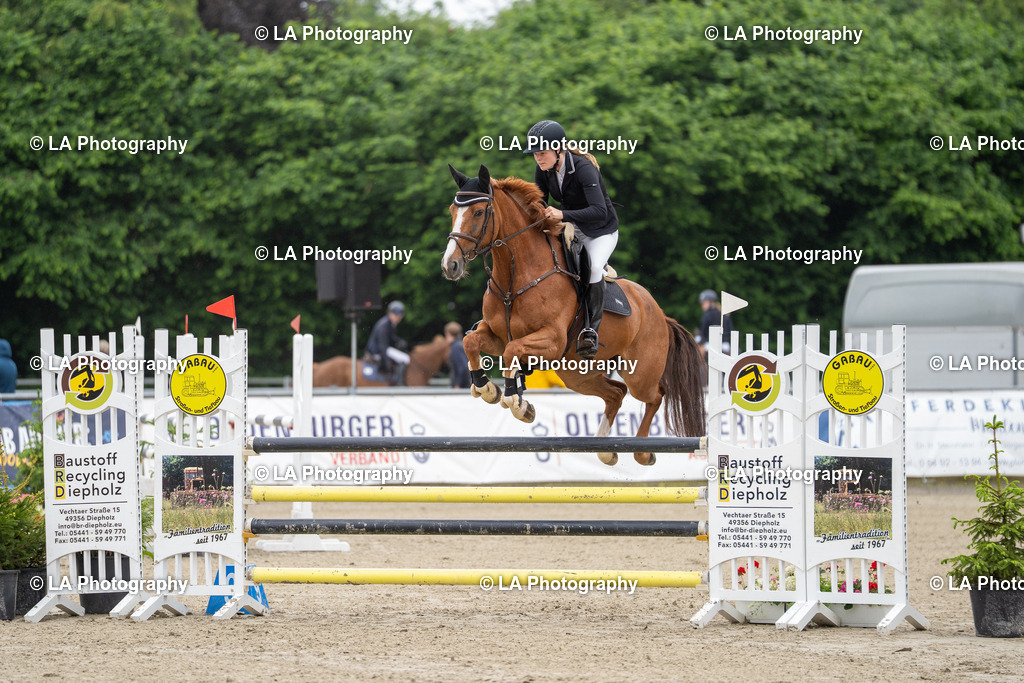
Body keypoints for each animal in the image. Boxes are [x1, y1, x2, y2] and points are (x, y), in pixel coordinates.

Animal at [441, 164, 706, 466]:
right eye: (452, 210)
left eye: (478, 212)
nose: (450, 265)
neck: (516, 276)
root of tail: (660, 314)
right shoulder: (496, 335)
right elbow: (471, 341)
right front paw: (488, 389)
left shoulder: (551, 340)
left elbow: (512, 350)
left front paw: (515, 402)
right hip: (576, 372)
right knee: (616, 394)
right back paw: (605, 449)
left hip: (639, 372)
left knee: (655, 395)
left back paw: (642, 451)